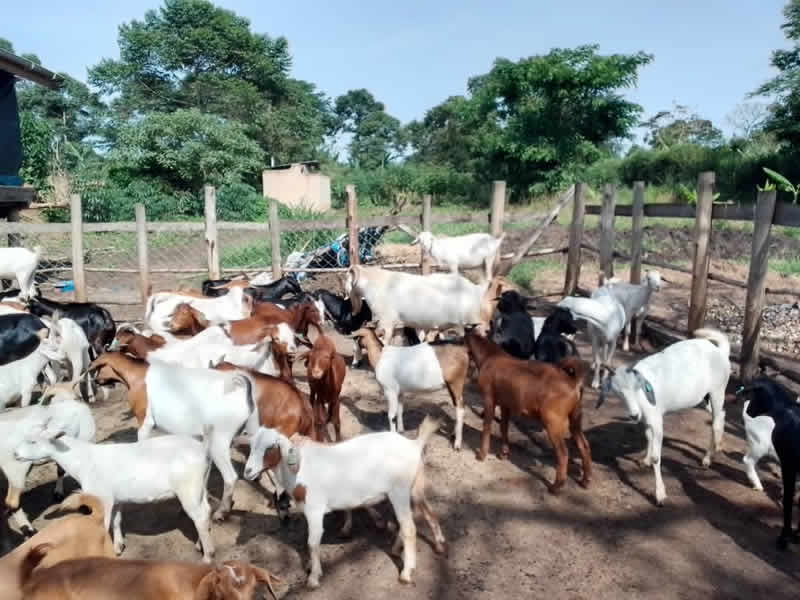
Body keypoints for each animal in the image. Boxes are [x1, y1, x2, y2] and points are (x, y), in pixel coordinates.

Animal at [243, 416, 446, 588]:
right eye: (251, 445)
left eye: (271, 446)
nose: (248, 471)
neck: (298, 470)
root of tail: (414, 444)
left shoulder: (314, 509)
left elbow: (312, 542)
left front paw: (314, 577)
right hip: (414, 486)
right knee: (425, 513)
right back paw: (426, 545)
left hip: (399, 490)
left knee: (409, 528)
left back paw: (406, 573)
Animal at [464, 329, 591, 491]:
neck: (490, 356)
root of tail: (573, 381)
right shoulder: (506, 405)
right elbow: (503, 427)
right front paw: (503, 454)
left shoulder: (489, 401)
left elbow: (487, 428)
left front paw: (482, 454)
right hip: (575, 419)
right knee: (584, 446)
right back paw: (585, 481)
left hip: (553, 422)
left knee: (563, 454)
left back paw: (556, 486)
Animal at [598, 328, 730, 506]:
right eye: (617, 392)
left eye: (636, 387)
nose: (633, 415)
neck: (642, 397)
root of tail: (721, 351)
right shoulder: (647, 418)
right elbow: (648, 436)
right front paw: (645, 460)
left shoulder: (656, 420)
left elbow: (656, 457)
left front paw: (660, 495)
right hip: (705, 397)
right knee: (721, 415)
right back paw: (718, 446)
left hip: (718, 391)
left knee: (715, 422)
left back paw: (707, 459)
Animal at [743, 379, 800, 550]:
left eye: (755, 394)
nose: (748, 408)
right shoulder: (789, 464)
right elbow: (789, 499)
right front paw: (785, 538)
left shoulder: (790, 464)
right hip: (759, 445)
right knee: (748, 460)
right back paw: (757, 484)